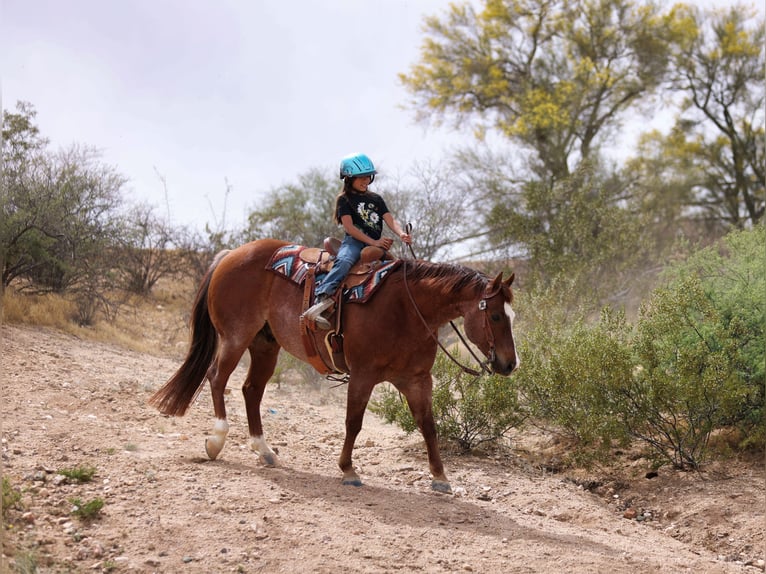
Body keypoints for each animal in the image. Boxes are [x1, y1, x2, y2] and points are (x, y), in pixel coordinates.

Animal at [149, 238, 519, 493]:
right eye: (495, 316)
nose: (509, 364)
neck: (408, 308)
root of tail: (230, 254)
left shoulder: (417, 379)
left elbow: (428, 426)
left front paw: (441, 478)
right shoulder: (363, 375)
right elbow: (353, 423)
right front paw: (348, 470)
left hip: (265, 345)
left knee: (251, 390)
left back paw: (265, 451)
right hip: (235, 337)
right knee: (216, 378)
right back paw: (216, 441)